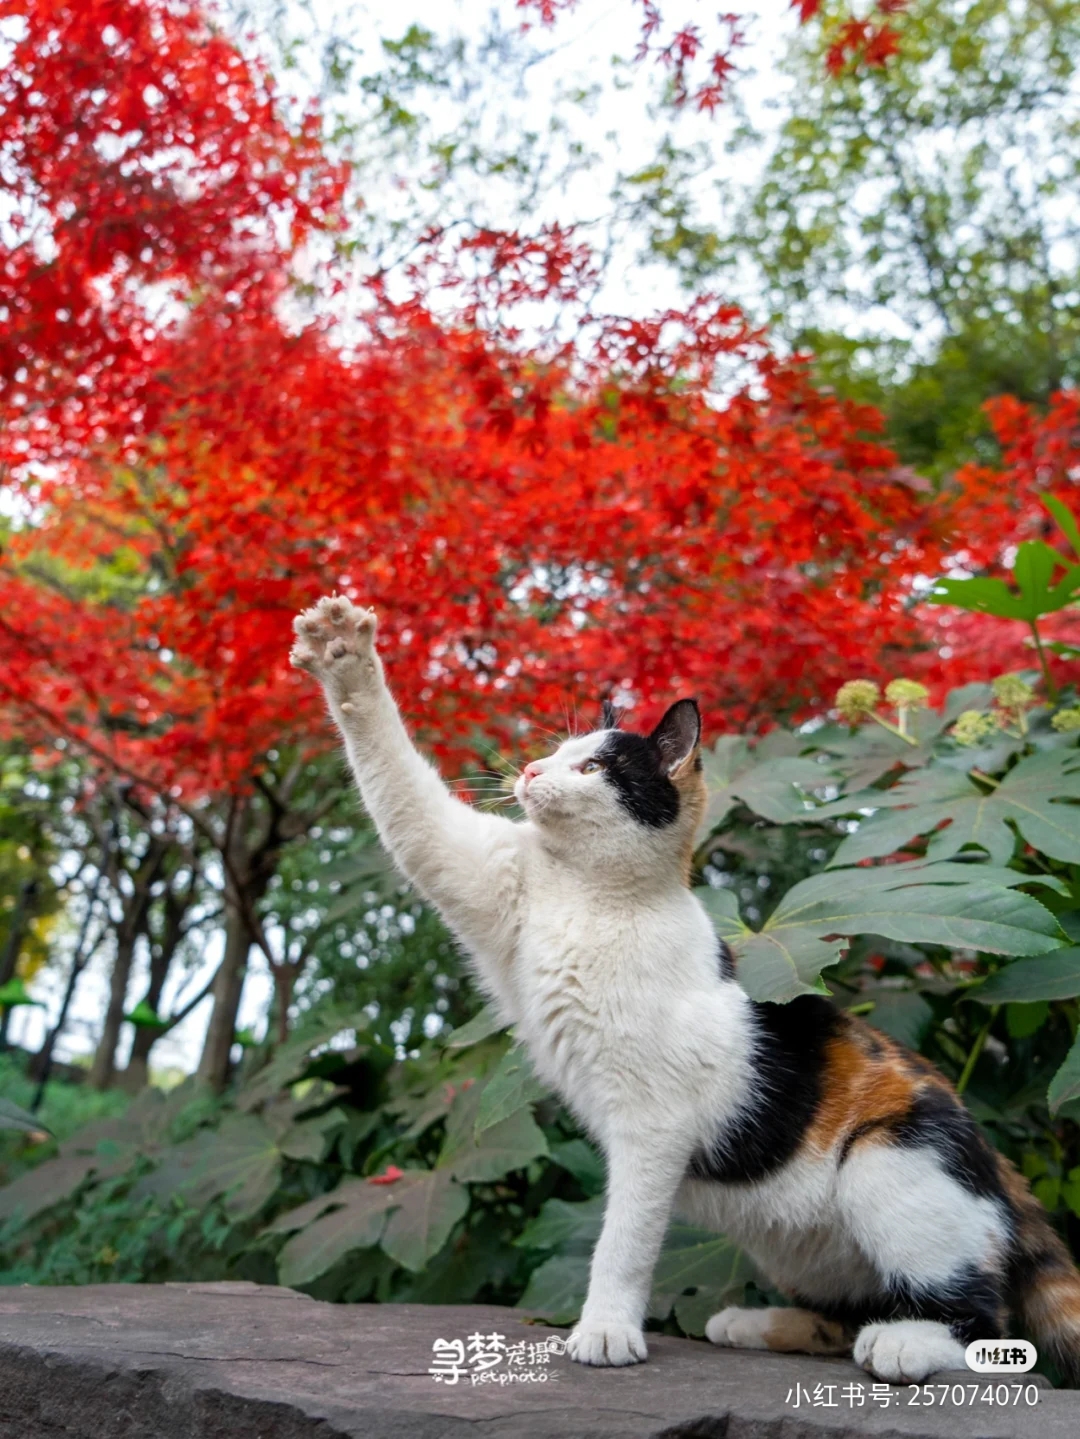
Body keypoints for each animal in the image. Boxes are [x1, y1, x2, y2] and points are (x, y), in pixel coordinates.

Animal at [291, 592, 1080, 1381]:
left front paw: (606, 1329)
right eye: (558, 751)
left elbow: (624, 1241)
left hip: (888, 1163)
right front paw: (342, 658)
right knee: (844, 1314)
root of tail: (1001, 1170)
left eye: (595, 765)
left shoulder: (654, 1125)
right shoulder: (479, 873)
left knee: (978, 1319)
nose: (531, 769)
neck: (594, 895)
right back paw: (757, 1323)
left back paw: (905, 1342)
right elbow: (409, 807)